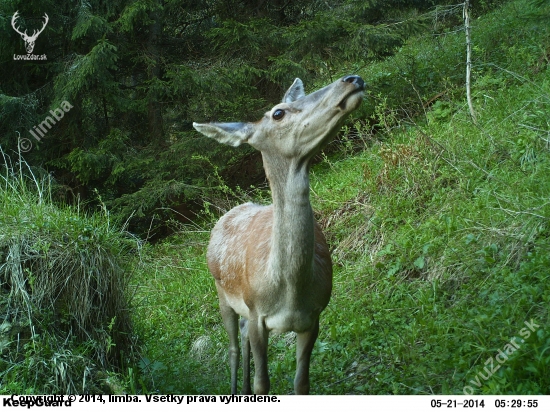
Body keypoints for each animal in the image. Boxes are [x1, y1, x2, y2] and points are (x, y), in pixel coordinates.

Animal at [194, 75, 366, 396]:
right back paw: (235, 390)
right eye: (278, 113)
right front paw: (253, 388)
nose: (352, 79)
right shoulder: (256, 312)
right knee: (233, 346)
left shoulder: (313, 317)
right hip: (222, 293)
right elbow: (263, 384)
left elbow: (301, 383)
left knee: (243, 337)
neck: (289, 290)